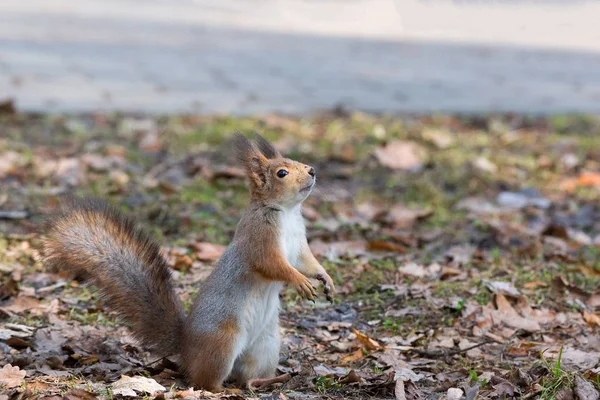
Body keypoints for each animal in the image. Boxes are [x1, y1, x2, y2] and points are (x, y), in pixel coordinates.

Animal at [42, 134, 338, 390]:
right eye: (282, 173)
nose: (312, 170)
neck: (286, 213)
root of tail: (186, 347)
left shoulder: (299, 245)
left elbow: (307, 262)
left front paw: (325, 279)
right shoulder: (260, 240)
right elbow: (274, 266)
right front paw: (301, 282)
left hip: (266, 346)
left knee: (246, 377)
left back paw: (269, 380)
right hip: (223, 343)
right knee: (205, 381)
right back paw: (222, 389)